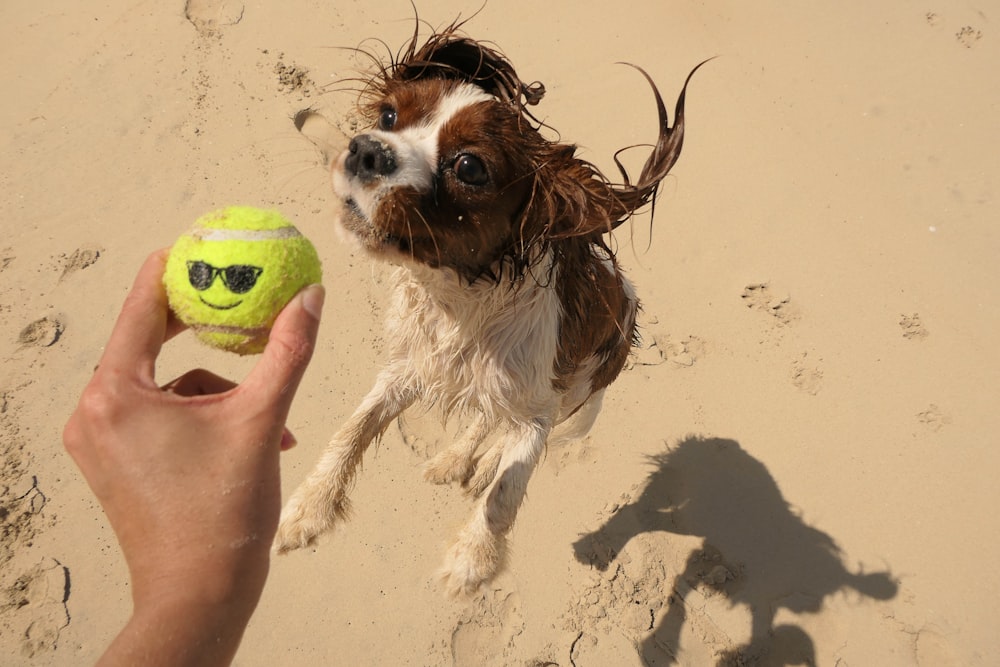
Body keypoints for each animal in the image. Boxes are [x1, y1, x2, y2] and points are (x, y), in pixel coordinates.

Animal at [270, 20, 700, 596]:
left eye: (469, 167)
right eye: (388, 116)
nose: (365, 150)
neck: (456, 300)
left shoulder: (538, 396)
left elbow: (507, 487)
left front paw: (472, 559)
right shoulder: (412, 365)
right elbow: (352, 428)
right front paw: (307, 508)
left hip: (579, 390)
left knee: (527, 434)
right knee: (485, 418)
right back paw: (455, 459)